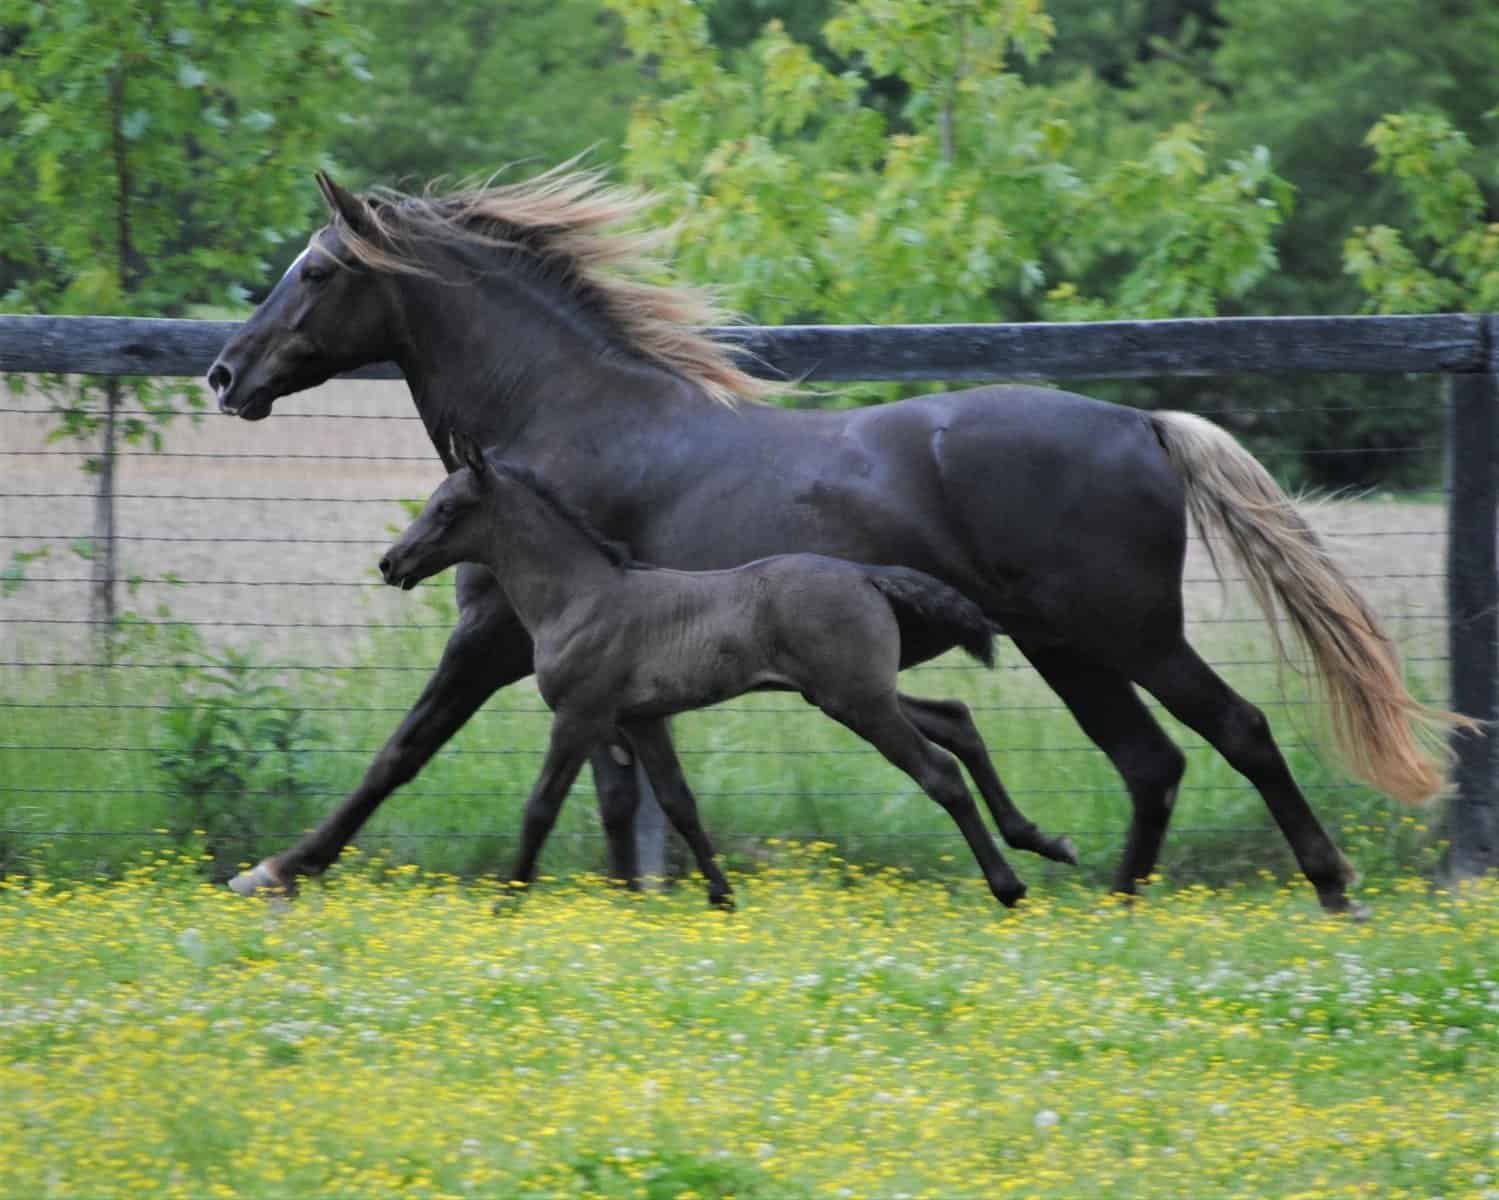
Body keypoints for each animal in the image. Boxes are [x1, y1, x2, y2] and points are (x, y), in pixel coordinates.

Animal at [351, 433, 1078, 907]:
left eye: (448, 508)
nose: (391, 563)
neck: (581, 595)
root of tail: (867, 575)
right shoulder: (642, 721)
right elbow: (680, 804)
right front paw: (721, 896)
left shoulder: (580, 715)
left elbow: (540, 807)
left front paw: (507, 899)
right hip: (857, 693)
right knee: (955, 720)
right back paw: (1044, 842)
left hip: (857, 702)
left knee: (940, 771)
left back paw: (1008, 884)